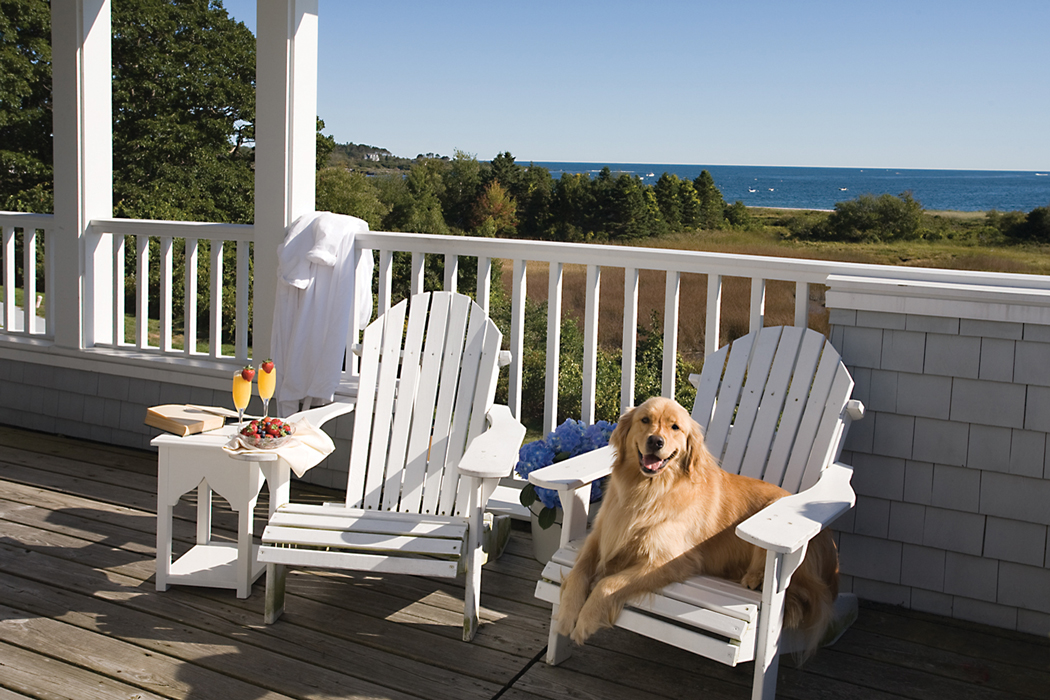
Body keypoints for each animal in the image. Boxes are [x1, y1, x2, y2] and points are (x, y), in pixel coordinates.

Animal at [558, 396, 835, 659]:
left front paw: (586, 619)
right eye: (645, 420)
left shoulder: (669, 560)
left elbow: (608, 584)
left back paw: (756, 578)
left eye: (675, 427)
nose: (656, 441)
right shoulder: (601, 534)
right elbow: (578, 570)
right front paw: (568, 613)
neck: (647, 490)